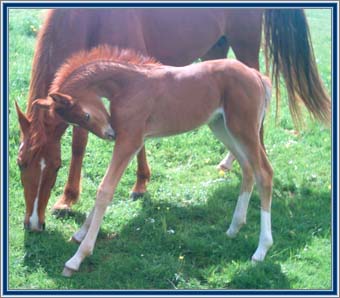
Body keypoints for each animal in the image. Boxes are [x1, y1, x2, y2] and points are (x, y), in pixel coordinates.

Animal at [14, 8, 330, 232]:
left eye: (55, 165)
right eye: (21, 163)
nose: (32, 223)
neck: (94, 17)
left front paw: (139, 184)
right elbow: (83, 141)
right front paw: (67, 200)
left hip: (245, 46)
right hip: (216, 49)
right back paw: (231, 162)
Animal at [32, 45, 276, 276]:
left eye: (85, 116)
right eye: (77, 122)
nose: (110, 134)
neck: (128, 84)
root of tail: (257, 75)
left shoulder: (129, 139)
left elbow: (105, 189)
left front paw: (77, 258)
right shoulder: (133, 141)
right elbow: (110, 186)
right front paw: (80, 233)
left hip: (243, 128)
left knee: (264, 173)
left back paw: (262, 249)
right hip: (221, 126)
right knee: (248, 169)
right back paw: (234, 228)